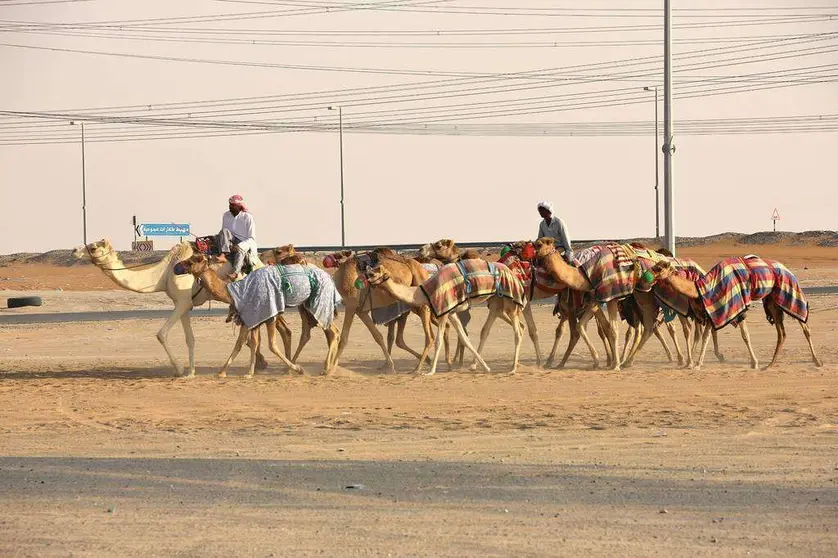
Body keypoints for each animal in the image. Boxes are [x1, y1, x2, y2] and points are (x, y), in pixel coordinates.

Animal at [72, 238, 282, 378]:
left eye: (93, 247)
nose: (74, 250)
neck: (163, 275)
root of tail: (261, 261)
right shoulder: (182, 303)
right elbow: (190, 339)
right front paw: (191, 371)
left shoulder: (183, 301)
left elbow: (161, 334)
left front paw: (180, 370)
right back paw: (261, 363)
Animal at [180, 256, 342, 378]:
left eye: (192, 260)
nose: (179, 266)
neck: (237, 291)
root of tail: (329, 276)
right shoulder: (251, 317)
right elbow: (244, 343)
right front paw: (225, 372)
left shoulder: (269, 314)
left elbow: (271, 345)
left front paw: (299, 369)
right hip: (307, 307)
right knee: (313, 332)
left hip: (318, 303)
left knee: (331, 331)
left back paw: (326, 369)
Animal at [366, 262, 524, 376]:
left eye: (372, 273)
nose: (366, 278)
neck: (422, 293)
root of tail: (514, 276)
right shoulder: (452, 312)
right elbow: (465, 339)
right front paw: (486, 367)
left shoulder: (443, 311)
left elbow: (438, 341)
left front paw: (430, 372)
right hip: (497, 303)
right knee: (489, 329)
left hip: (510, 303)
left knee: (518, 332)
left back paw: (513, 369)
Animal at [648, 260, 824, 372]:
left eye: (659, 268)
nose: (646, 275)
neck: (705, 286)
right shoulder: (712, 310)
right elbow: (706, 336)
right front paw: (694, 364)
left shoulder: (735, 306)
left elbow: (744, 335)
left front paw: (754, 363)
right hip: (773, 302)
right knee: (782, 333)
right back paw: (770, 365)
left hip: (789, 292)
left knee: (804, 326)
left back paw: (817, 361)